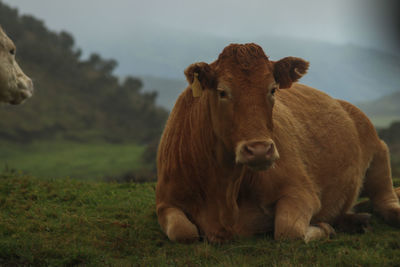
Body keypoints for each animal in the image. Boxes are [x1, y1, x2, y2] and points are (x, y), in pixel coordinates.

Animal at [155, 43, 400, 244]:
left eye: (272, 89)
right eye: (222, 92)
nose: (259, 151)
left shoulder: (300, 191)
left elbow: (287, 230)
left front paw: (323, 227)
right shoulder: (164, 202)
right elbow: (182, 231)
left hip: (379, 153)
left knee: (385, 201)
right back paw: (354, 219)